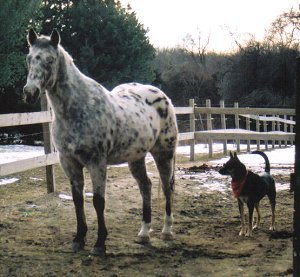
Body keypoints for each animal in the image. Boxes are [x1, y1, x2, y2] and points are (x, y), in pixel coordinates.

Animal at [24, 29, 178, 256]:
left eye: (50, 60)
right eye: (29, 58)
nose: (30, 92)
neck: (78, 109)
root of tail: (163, 97)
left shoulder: (97, 162)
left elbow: (98, 201)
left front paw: (99, 244)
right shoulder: (69, 163)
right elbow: (78, 200)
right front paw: (79, 239)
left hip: (164, 154)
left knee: (167, 188)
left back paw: (166, 231)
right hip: (136, 158)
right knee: (146, 187)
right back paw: (143, 233)